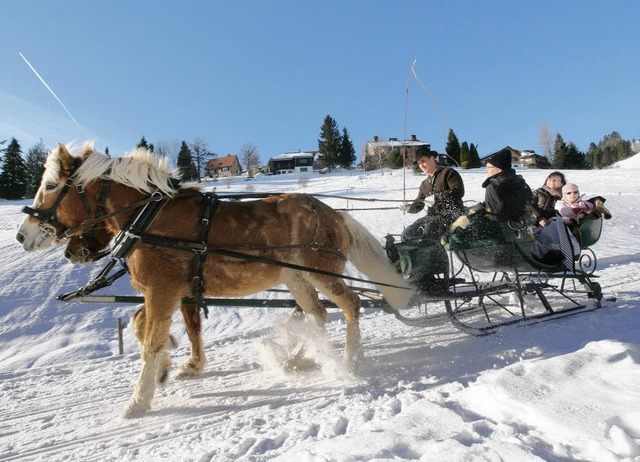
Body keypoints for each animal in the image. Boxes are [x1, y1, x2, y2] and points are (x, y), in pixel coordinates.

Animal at [18, 143, 416, 416]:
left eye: (51, 185)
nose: (23, 235)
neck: (150, 219)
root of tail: (334, 213)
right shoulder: (171, 292)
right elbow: (147, 326)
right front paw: (171, 364)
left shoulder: (163, 290)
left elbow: (150, 340)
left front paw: (138, 400)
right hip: (297, 277)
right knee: (317, 313)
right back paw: (298, 359)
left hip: (321, 270)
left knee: (351, 304)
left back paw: (349, 361)